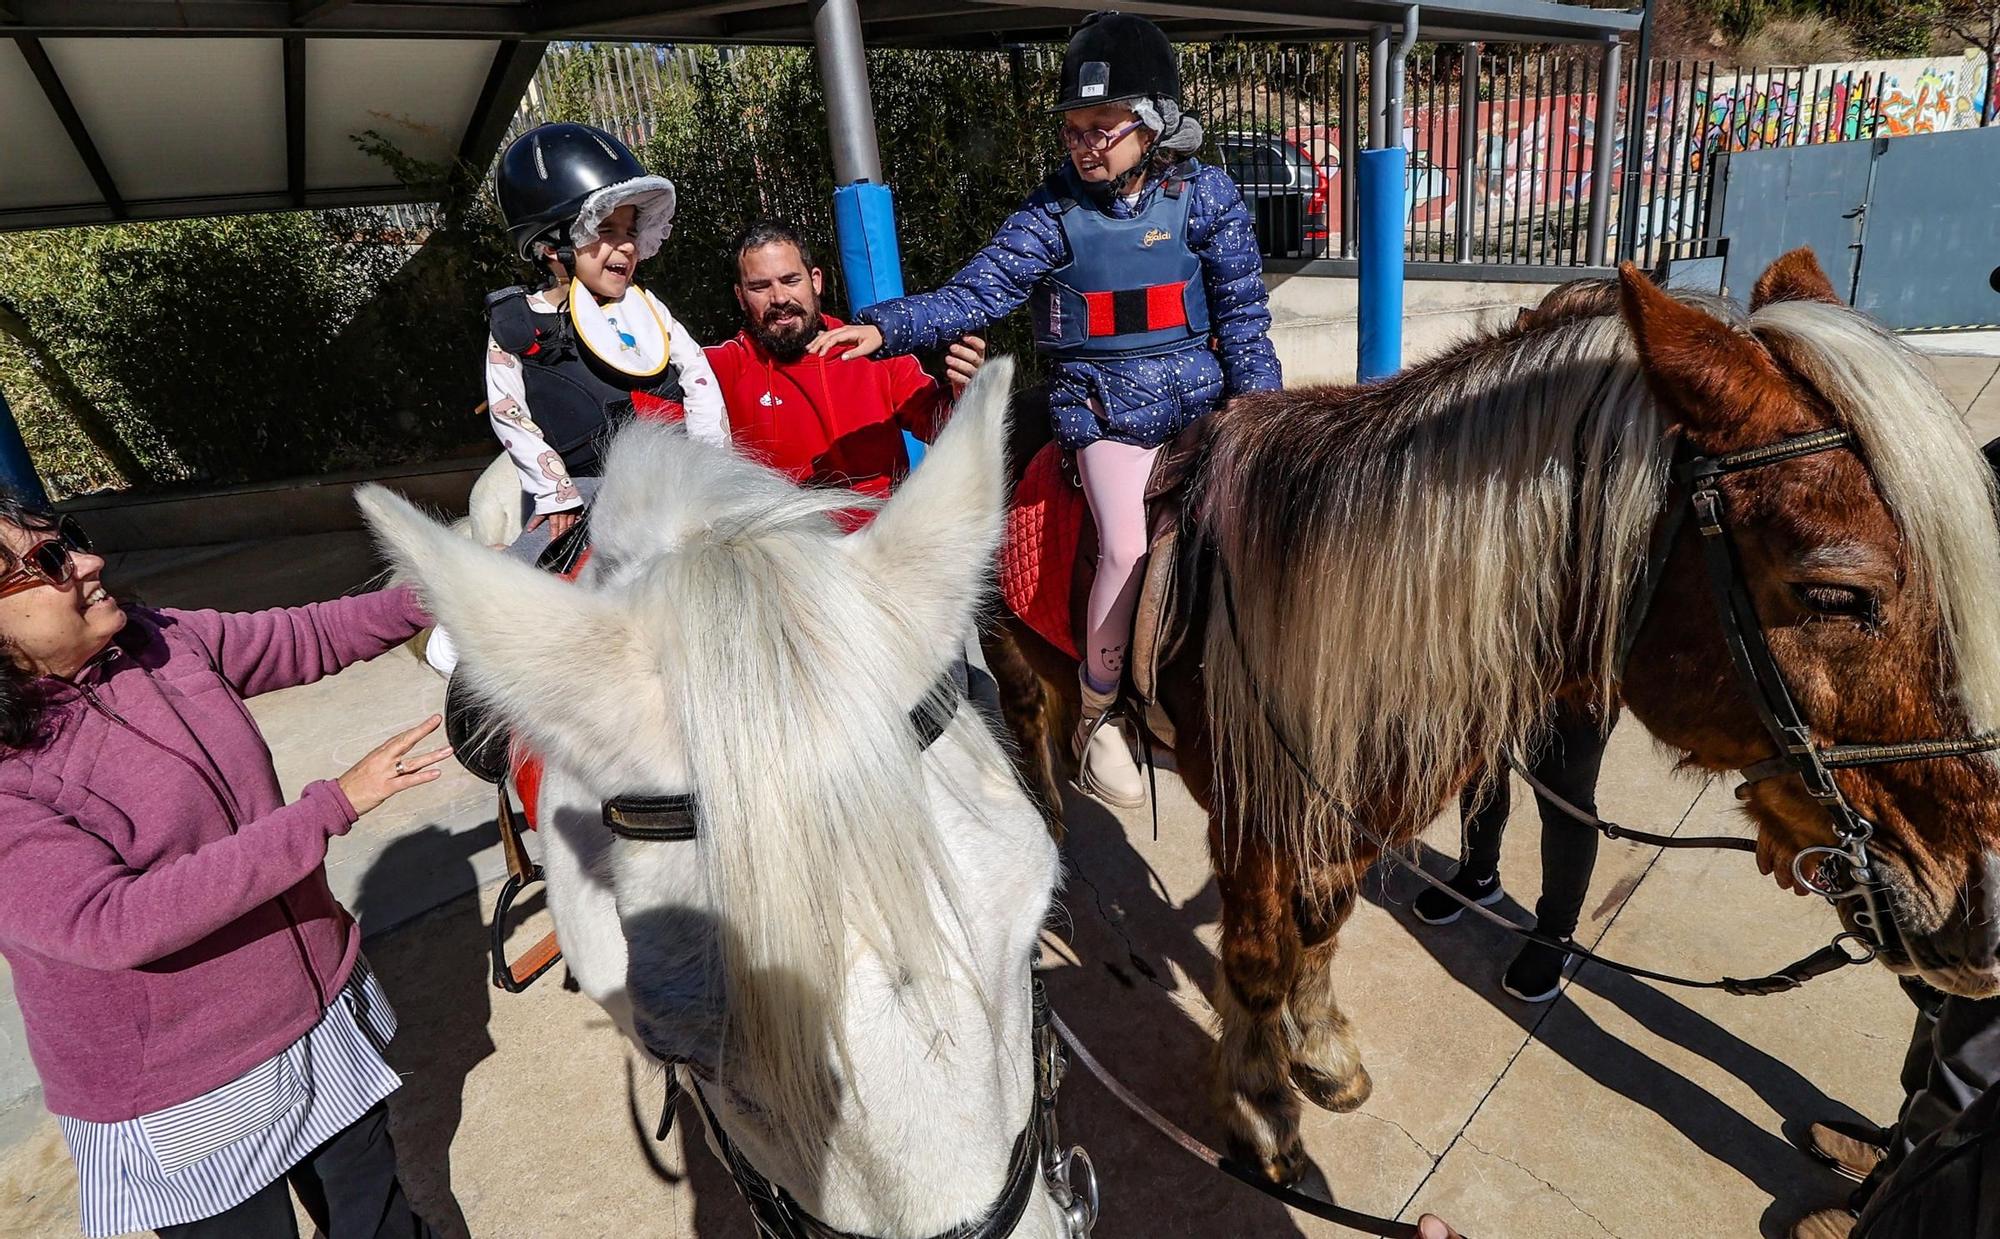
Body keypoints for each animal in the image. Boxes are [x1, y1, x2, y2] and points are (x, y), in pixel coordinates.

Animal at [992, 248, 2000, 1183]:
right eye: (1835, 592)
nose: (1982, 900)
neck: (1340, 607)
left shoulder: (1347, 819)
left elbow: (1320, 929)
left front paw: (1322, 1055)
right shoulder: (1254, 826)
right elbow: (1256, 961)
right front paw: (1259, 1114)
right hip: (1017, 671)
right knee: (1032, 757)